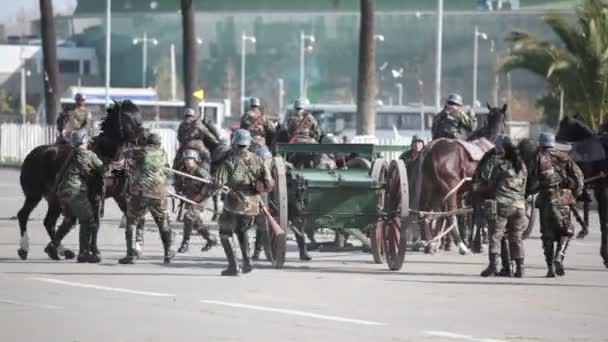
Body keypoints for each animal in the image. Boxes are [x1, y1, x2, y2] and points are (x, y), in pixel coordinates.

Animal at [16, 100, 146, 260]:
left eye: (138, 115)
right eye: (127, 117)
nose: (144, 138)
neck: (108, 156)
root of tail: (33, 154)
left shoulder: (120, 196)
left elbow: (133, 219)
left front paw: (135, 249)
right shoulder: (96, 196)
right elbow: (95, 223)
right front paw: (95, 251)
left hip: (55, 199)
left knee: (50, 222)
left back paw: (59, 250)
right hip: (34, 195)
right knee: (23, 215)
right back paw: (25, 248)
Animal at [414, 103, 508, 254]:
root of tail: (430, 149)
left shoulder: (467, 193)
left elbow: (471, 215)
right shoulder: (479, 192)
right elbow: (477, 216)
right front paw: (476, 243)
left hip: (431, 190)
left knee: (426, 213)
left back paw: (430, 243)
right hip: (448, 191)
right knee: (450, 215)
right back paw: (460, 245)